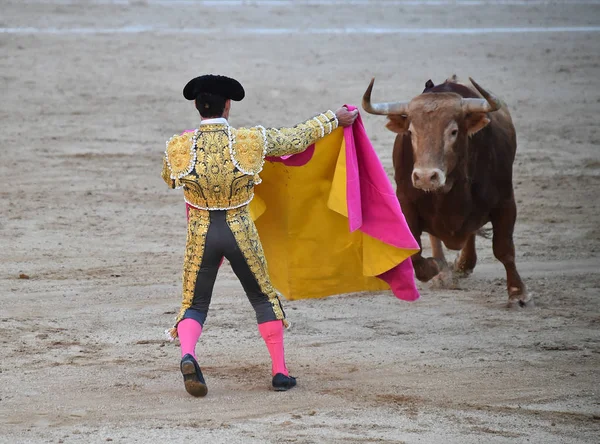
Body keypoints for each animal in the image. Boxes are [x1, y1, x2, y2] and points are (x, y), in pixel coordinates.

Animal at [360, 74, 528, 306]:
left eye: (453, 132)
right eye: (411, 132)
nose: (425, 177)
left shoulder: (506, 202)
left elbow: (504, 248)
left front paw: (517, 292)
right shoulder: (406, 202)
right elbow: (415, 254)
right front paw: (436, 267)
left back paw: (464, 264)